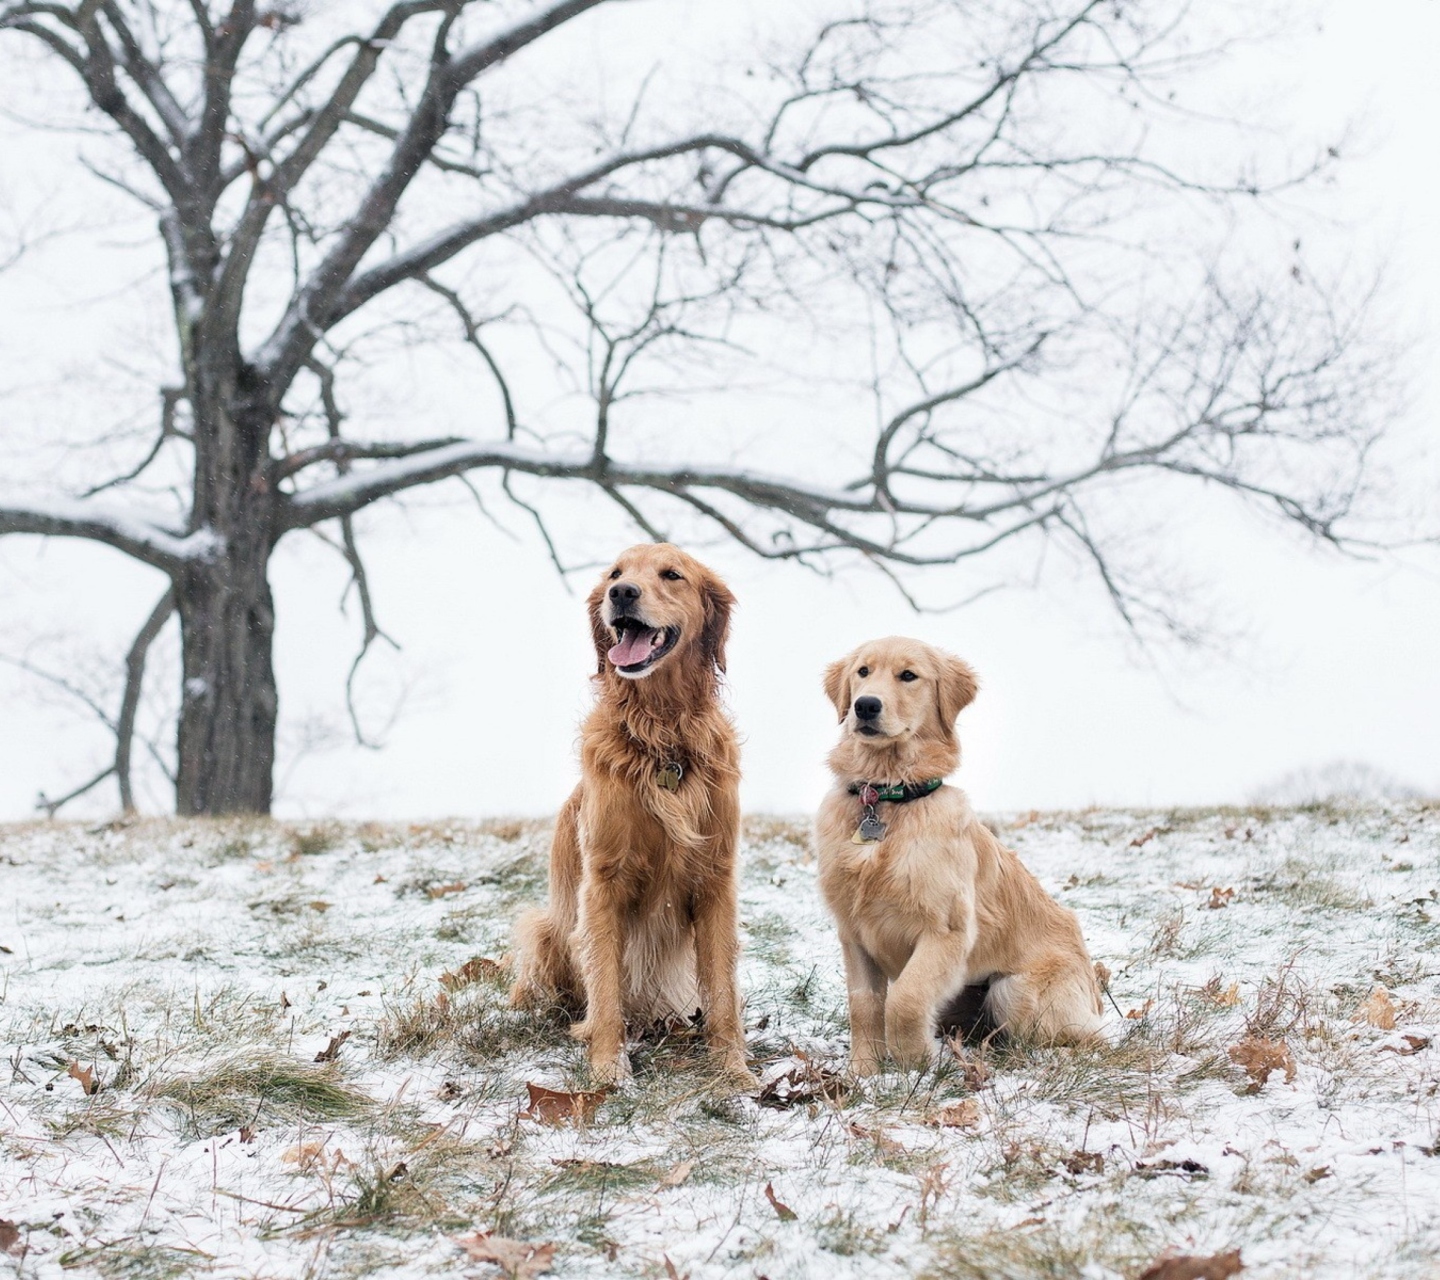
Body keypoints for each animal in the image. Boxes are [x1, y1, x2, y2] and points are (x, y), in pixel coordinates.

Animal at [509, 541, 760, 1088]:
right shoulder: (603, 882)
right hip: (544, 930)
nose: (622, 593)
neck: (663, 735)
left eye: (672, 574)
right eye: (614, 574)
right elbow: (605, 989)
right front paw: (609, 1068)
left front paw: (733, 1069)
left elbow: (722, 992)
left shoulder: (716, 878)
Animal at [812, 636, 1100, 1071]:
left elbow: (905, 999)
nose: (865, 705)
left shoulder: (945, 931)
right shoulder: (853, 933)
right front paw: (863, 1072)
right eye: (863, 672)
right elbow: (864, 1006)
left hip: (1012, 990)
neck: (887, 797)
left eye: (908, 675)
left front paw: (915, 1063)